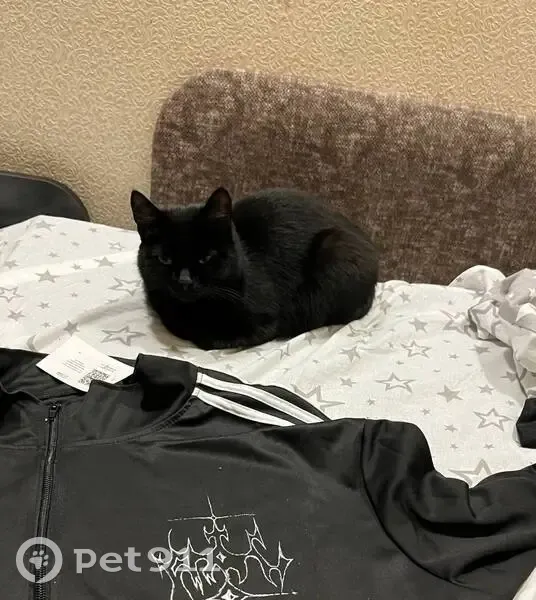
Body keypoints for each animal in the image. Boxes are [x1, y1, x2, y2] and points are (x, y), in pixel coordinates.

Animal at [131, 187, 379, 350]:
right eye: (164, 258)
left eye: (206, 257)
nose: (184, 281)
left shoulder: (266, 321)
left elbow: (210, 338)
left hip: (334, 249)